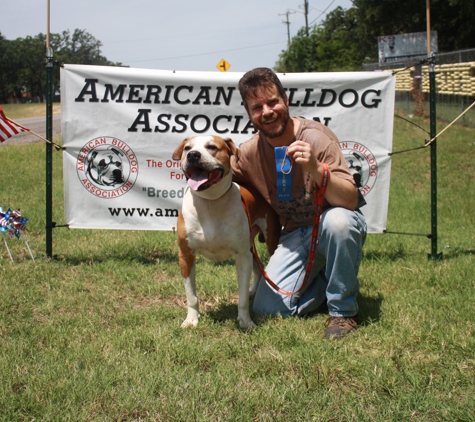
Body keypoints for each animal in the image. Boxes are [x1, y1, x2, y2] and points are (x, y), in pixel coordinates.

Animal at [173, 135, 280, 330]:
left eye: (212, 147)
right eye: (187, 148)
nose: (193, 155)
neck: (211, 201)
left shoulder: (242, 255)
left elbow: (242, 298)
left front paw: (245, 321)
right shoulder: (185, 255)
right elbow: (191, 296)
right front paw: (191, 320)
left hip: (268, 241)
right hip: (251, 247)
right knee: (258, 268)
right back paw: (253, 290)